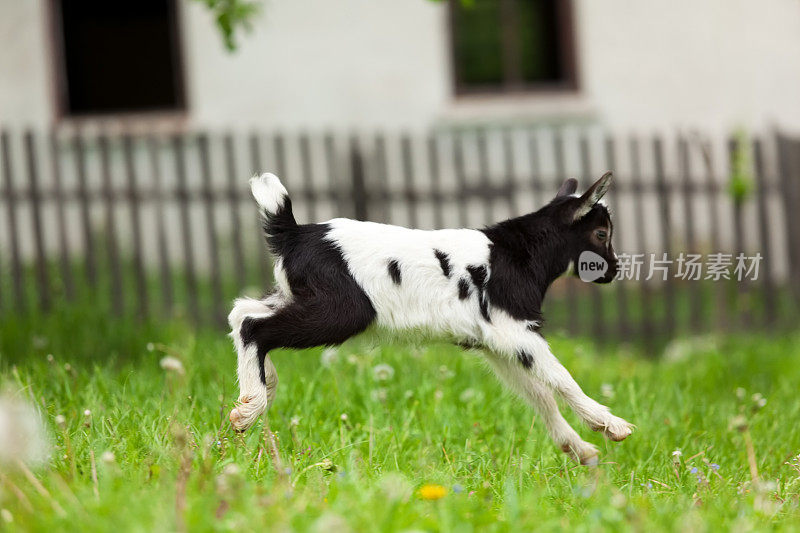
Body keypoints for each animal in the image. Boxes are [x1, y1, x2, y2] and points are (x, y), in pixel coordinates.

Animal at [230, 170, 632, 462]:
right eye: (601, 233)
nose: (614, 271)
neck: (520, 252)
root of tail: (293, 233)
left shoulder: (496, 343)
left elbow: (539, 393)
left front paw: (579, 449)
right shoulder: (515, 330)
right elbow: (561, 379)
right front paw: (612, 425)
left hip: (302, 296)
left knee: (243, 312)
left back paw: (262, 387)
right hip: (342, 310)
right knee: (255, 327)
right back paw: (251, 407)